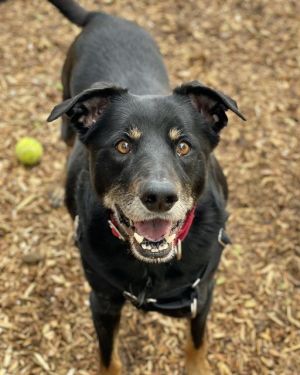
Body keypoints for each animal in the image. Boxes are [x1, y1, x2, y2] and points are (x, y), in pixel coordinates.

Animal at [47, 1, 244, 374]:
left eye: (184, 146)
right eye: (123, 145)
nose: (160, 197)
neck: (152, 268)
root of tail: (102, 16)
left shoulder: (202, 294)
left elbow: (197, 342)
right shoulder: (102, 301)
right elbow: (107, 357)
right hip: (66, 107)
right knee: (65, 143)